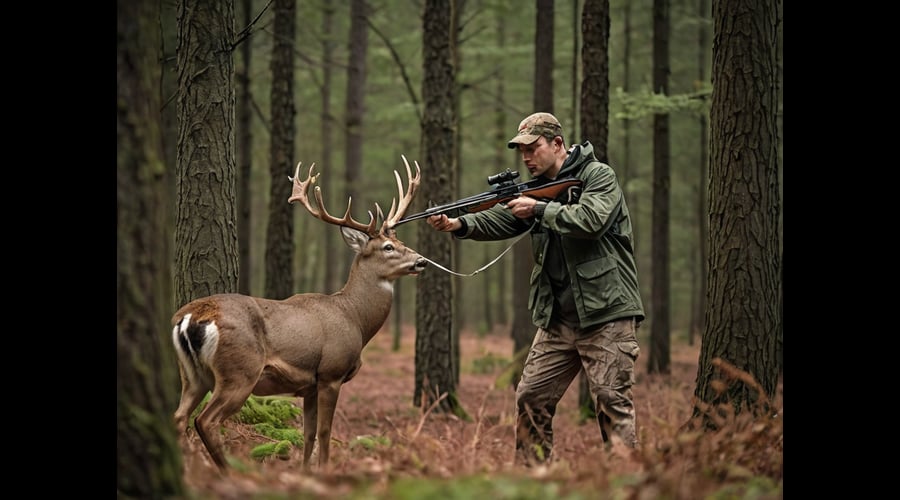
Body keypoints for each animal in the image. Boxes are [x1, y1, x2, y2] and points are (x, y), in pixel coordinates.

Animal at [171, 156, 425, 472]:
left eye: (400, 242)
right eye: (388, 247)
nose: (421, 260)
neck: (355, 318)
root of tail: (190, 317)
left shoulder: (310, 386)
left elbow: (308, 434)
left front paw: (305, 471)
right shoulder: (331, 373)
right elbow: (325, 432)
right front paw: (324, 471)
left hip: (192, 374)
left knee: (179, 417)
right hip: (240, 371)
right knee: (205, 420)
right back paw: (228, 470)